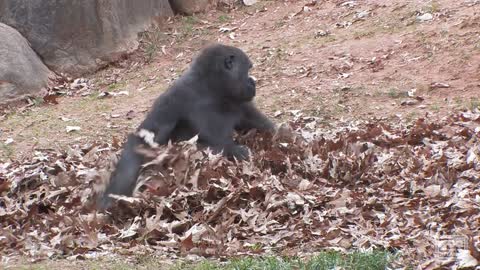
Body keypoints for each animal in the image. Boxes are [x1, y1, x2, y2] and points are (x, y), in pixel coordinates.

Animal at [98, 43, 274, 209]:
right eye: (248, 69)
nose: (252, 82)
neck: (210, 87)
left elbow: (262, 125)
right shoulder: (173, 98)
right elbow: (143, 141)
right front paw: (112, 196)